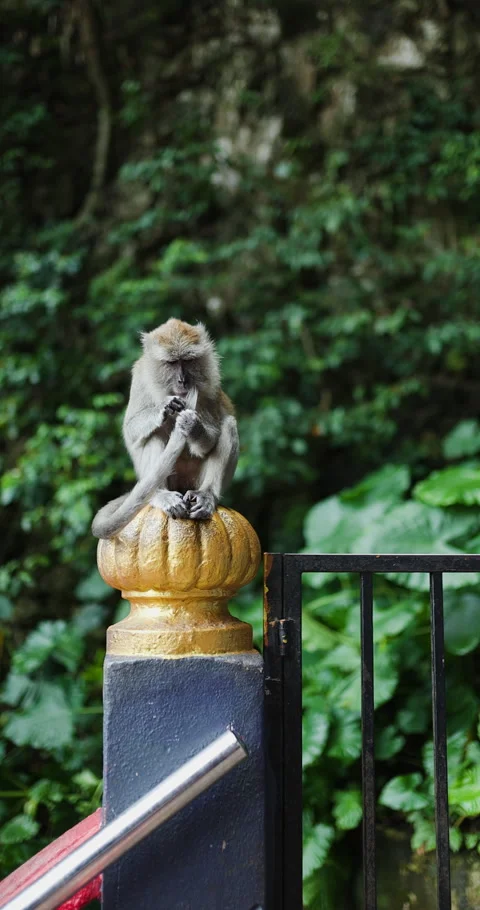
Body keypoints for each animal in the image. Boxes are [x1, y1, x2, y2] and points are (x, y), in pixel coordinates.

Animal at [91, 318, 239, 539]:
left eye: (187, 360)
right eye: (171, 362)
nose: (182, 380)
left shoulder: (211, 387)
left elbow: (211, 438)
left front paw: (192, 425)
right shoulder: (140, 377)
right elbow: (130, 428)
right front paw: (164, 407)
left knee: (229, 425)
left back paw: (206, 495)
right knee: (153, 434)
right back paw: (162, 495)